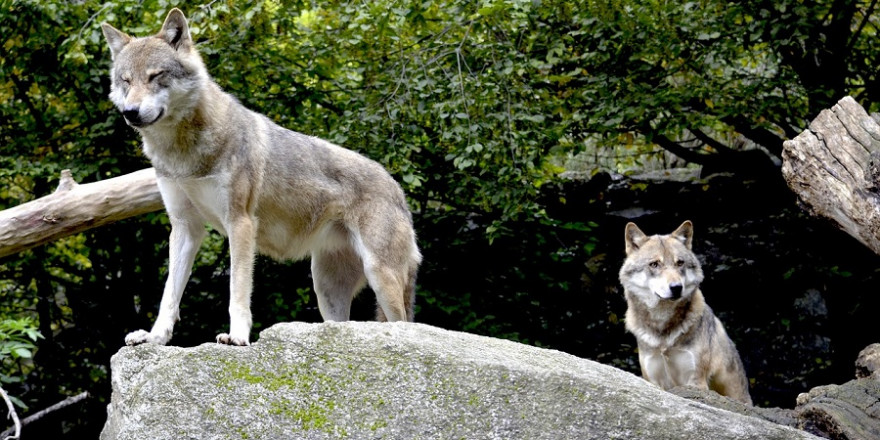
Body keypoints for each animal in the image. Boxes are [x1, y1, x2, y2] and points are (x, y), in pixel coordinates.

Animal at [99, 8, 422, 346]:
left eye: (155, 76)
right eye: (125, 81)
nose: (131, 112)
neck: (184, 153)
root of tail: (398, 189)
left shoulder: (240, 223)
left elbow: (237, 290)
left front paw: (237, 336)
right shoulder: (185, 227)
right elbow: (169, 295)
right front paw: (155, 337)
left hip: (380, 276)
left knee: (404, 323)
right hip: (325, 290)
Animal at [620, 222, 748, 404]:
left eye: (679, 263)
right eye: (654, 264)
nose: (676, 287)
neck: (663, 331)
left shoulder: (695, 381)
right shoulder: (653, 381)